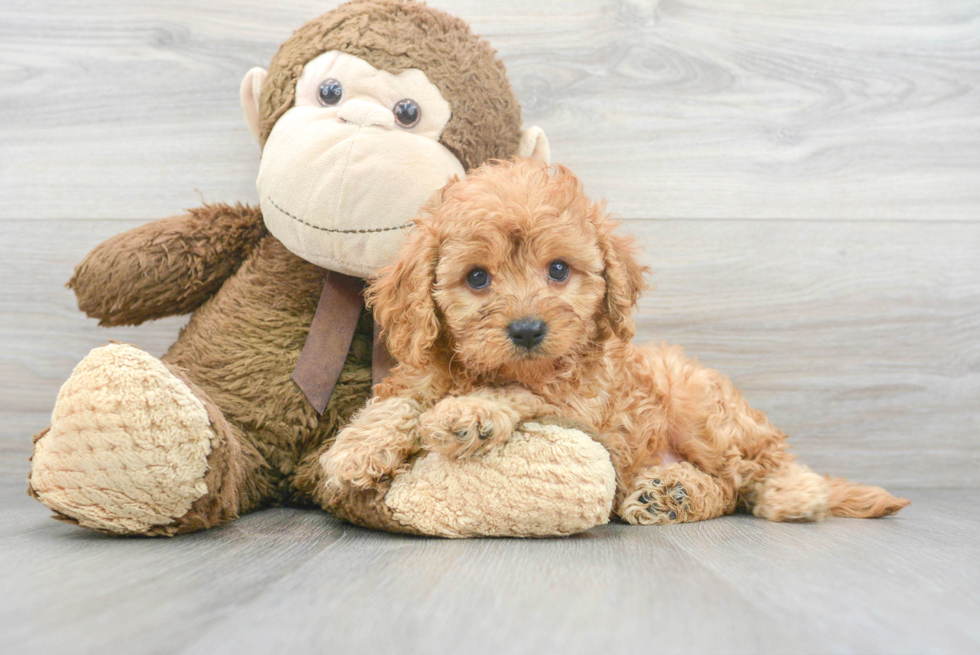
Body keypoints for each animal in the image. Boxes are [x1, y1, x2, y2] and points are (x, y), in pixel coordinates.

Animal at [324, 159, 912, 528]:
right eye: (476, 278)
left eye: (559, 270)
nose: (528, 330)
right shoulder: (423, 371)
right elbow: (400, 401)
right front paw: (356, 447)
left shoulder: (584, 407)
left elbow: (519, 394)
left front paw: (469, 412)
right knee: (723, 490)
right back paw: (669, 495)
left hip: (703, 407)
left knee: (758, 466)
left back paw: (795, 495)